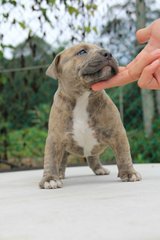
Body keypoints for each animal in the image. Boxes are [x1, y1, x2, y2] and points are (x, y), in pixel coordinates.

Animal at [39, 43, 141, 189]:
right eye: (82, 52)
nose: (108, 53)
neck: (83, 96)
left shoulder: (117, 133)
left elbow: (123, 154)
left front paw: (129, 173)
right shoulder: (55, 138)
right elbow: (51, 159)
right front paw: (50, 179)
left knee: (93, 156)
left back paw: (100, 169)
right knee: (62, 160)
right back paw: (60, 174)